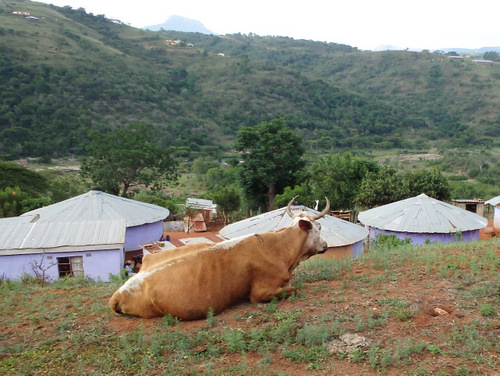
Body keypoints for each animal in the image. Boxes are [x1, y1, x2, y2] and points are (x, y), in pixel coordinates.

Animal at [108, 197, 328, 320]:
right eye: (318, 227)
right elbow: (293, 289)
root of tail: (119, 293)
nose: (326, 246)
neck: (280, 250)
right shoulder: (260, 293)